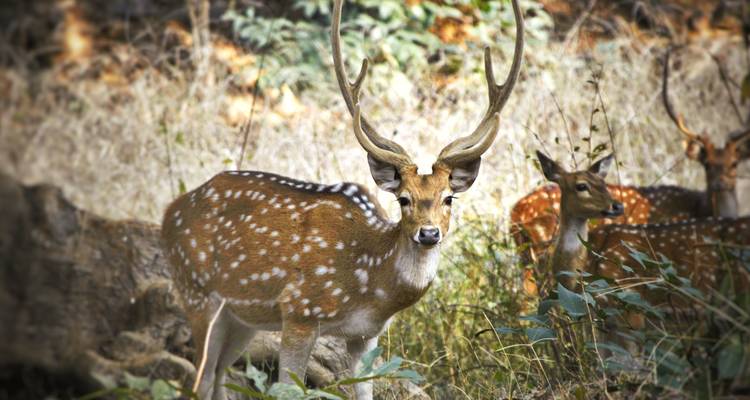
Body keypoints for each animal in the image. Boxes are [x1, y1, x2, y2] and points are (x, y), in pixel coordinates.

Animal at [160, 0, 524, 398]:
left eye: (448, 199)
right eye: (403, 199)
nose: (429, 234)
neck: (370, 284)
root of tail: (170, 211)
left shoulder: (366, 336)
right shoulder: (298, 311)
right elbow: (288, 388)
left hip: (242, 317)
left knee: (217, 377)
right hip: (196, 291)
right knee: (198, 379)